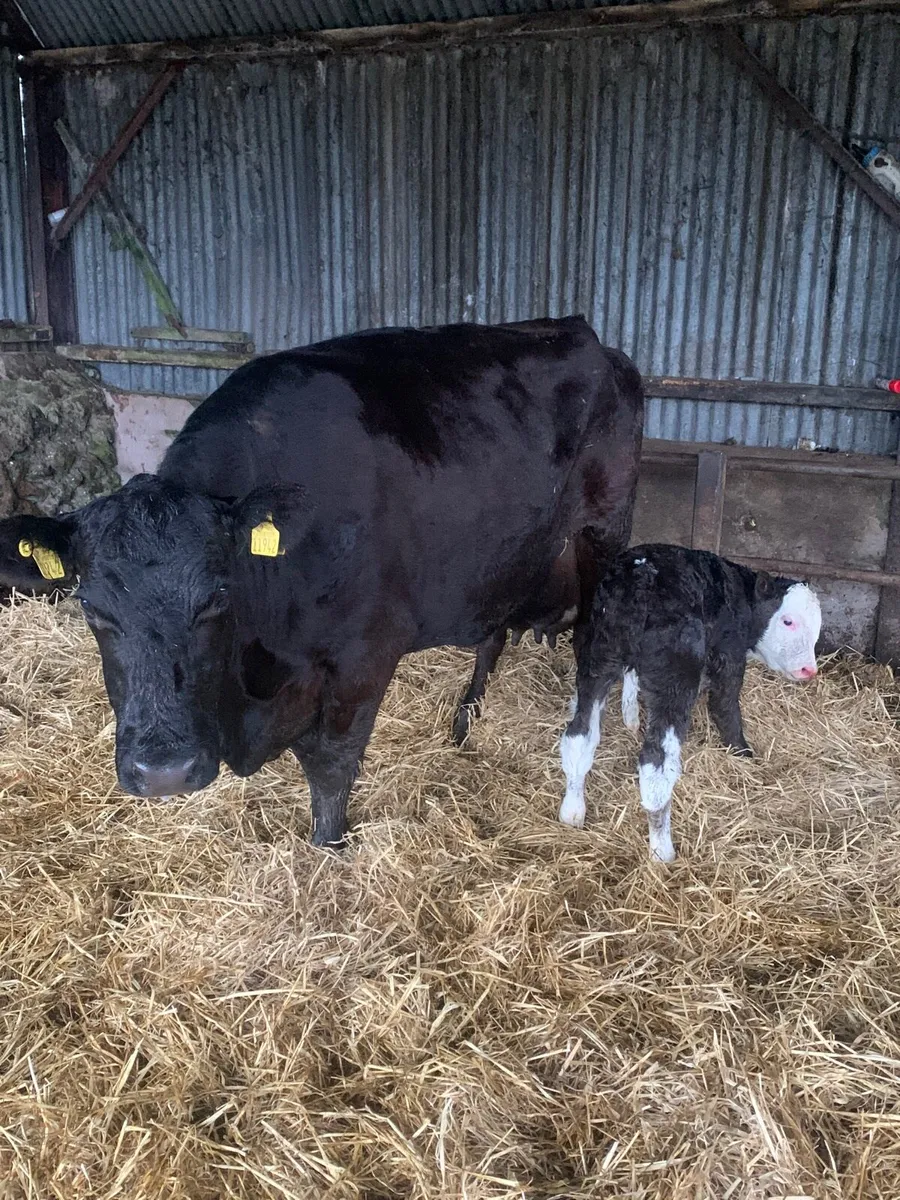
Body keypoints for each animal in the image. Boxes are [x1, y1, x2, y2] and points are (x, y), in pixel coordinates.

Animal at [0, 318, 643, 847]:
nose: (163, 774)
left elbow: (331, 766)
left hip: (604, 530)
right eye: (90, 606)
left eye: (216, 599)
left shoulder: (365, 656)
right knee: (494, 633)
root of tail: (587, 336)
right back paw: (463, 726)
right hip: (505, 558)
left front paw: (327, 852)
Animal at [558, 544, 821, 862]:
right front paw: (743, 752)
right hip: (677, 672)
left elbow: (631, 682)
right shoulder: (729, 653)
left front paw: (630, 718)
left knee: (579, 735)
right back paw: (662, 851)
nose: (809, 670)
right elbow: (725, 704)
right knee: (656, 762)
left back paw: (572, 812)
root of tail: (641, 577)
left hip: (598, 654)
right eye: (788, 621)